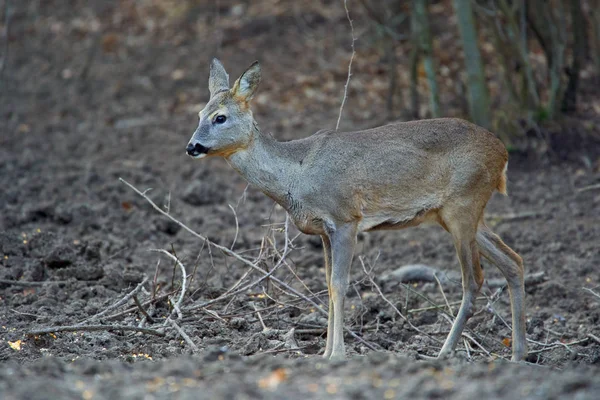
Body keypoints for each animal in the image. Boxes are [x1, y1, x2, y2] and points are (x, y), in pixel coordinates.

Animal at [185, 59, 528, 362]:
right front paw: (323, 352)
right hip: (455, 213)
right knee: (513, 261)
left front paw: (336, 354)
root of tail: (503, 153)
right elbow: (327, 285)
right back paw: (517, 354)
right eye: (200, 114)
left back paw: (444, 353)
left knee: (474, 279)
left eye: (220, 117)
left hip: (463, 203)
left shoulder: (345, 218)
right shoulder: (323, 230)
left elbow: (340, 285)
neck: (296, 175)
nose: (192, 147)